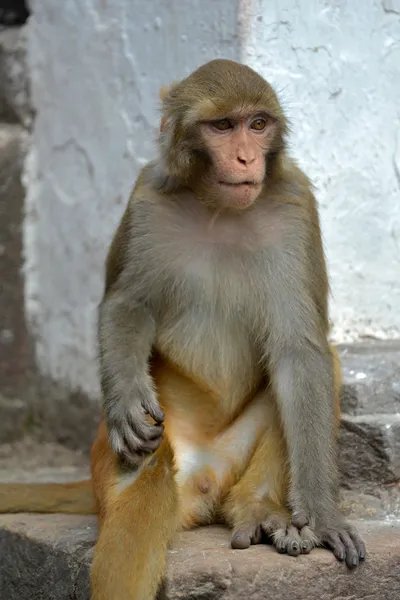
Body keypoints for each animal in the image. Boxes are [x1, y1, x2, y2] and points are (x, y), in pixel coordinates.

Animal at [0, 57, 364, 600]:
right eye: (223, 126)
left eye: (258, 124)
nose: (245, 157)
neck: (217, 207)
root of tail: (205, 480)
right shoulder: (146, 199)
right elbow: (126, 304)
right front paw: (125, 397)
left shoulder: (295, 205)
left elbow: (300, 353)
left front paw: (320, 516)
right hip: (124, 453)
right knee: (144, 480)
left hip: (232, 460)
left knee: (320, 365)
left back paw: (257, 508)